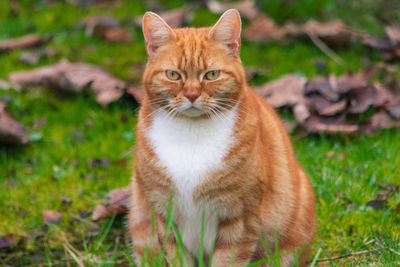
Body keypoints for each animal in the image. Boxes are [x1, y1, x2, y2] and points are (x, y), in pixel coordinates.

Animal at [129, 8, 316, 267]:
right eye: (173, 75)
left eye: (212, 74)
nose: (192, 95)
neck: (192, 135)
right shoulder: (163, 215)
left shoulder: (241, 217)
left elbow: (228, 258)